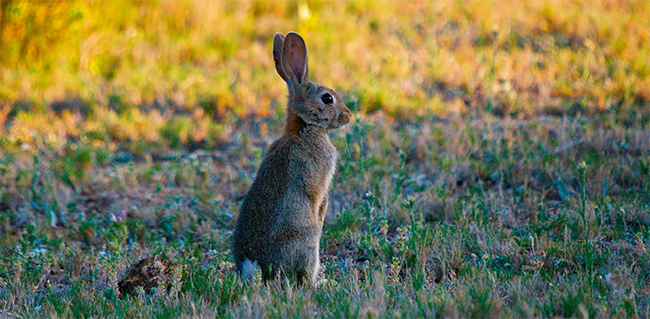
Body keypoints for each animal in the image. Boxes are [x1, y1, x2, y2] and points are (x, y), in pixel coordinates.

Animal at [232, 31, 352, 284]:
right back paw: (320, 282)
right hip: (308, 244)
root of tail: (253, 265)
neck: (305, 126)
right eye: (327, 99)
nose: (348, 115)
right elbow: (317, 198)